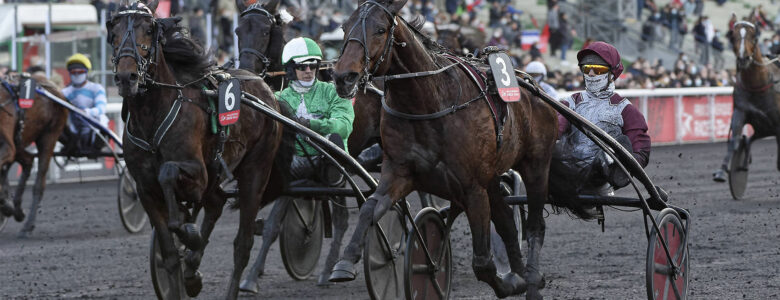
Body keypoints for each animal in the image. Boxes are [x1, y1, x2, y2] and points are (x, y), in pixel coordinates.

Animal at [0, 75, 67, 239]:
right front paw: (8, 205)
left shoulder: (7, 146)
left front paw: (6, 205)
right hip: (20, 140)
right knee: (28, 161)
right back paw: (17, 209)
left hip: (49, 136)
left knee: (39, 184)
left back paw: (27, 225)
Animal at [106, 1, 292, 298]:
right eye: (114, 32)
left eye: (149, 29)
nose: (126, 76)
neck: (152, 117)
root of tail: (266, 89)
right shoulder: (145, 190)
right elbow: (170, 254)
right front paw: (184, 268)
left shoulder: (197, 175)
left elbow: (169, 174)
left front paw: (189, 234)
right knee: (215, 204)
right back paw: (193, 271)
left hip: (256, 170)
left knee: (242, 244)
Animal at [326, 0, 556, 298]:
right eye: (344, 27)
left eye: (379, 29)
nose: (344, 76)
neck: (427, 103)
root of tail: (534, 87)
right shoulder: (399, 173)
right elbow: (369, 209)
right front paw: (344, 262)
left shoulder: (472, 187)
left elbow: (482, 263)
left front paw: (507, 283)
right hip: (492, 175)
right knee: (505, 218)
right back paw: (518, 272)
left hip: (536, 165)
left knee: (536, 224)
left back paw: (531, 280)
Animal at [712, 20, 780, 185]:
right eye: (732, 35)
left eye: (754, 36)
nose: (743, 59)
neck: (757, 84)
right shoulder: (740, 111)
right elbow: (735, 140)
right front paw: (722, 171)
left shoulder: (777, 124)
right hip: (763, 128)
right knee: (749, 139)